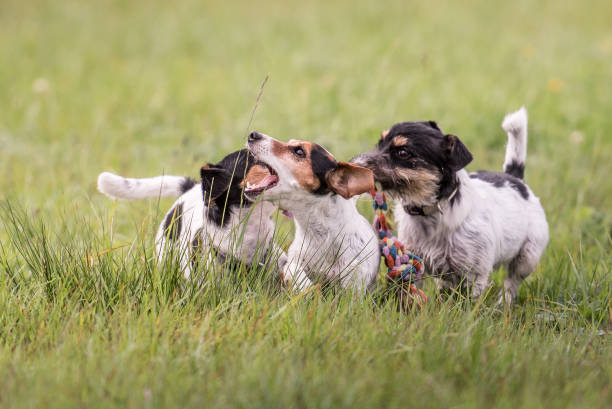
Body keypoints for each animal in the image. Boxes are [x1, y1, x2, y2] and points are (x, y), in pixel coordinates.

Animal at [243, 131, 378, 294]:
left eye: (299, 152)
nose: (253, 134)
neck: (320, 236)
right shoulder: (292, 261)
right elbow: (293, 269)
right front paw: (306, 287)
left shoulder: (354, 281)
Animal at [354, 107, 548, 304]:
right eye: (379, 143)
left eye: (403, 153)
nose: (355, 164)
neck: (428, 213)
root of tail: (515, 179)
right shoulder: (414, 259)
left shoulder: (473, 274)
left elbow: (467, 303)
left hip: (527, 257)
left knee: (512, 283)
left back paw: (503, 305)